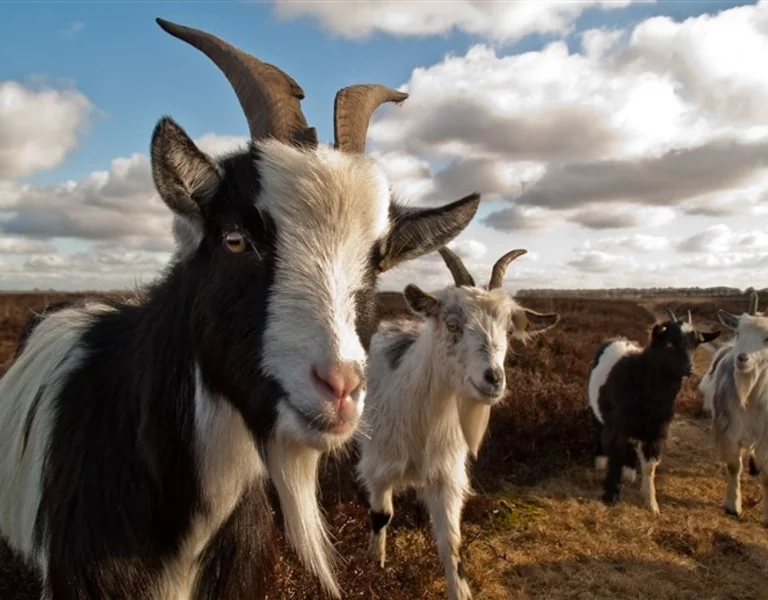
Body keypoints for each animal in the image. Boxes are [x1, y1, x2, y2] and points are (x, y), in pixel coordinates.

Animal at [356, 247, 559, 600]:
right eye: (452, 325)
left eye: (508, 331)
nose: (493, 379)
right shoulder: (378, 465)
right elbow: (381, 516)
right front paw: (374, 567)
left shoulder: (446, 475)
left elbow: (452, 543)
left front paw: (460, 590)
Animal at [588, 308, 720, 514]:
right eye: (669, 343)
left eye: (696, 344)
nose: (689, 369)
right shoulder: (618, 427)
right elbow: (616, 457)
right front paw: (611, 495)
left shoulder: (657, 431)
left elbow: (650, 467)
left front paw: (651, 503)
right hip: (599, 413)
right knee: (599, 430)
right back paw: (601, 462)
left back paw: (630, 472)